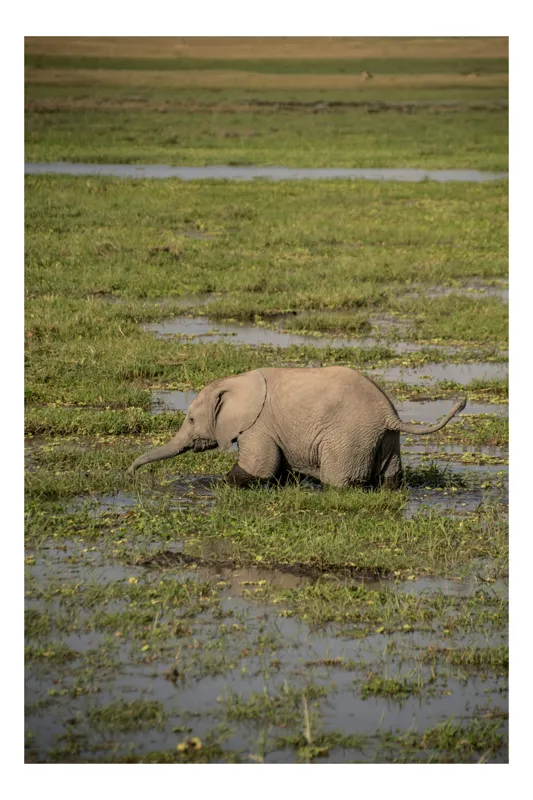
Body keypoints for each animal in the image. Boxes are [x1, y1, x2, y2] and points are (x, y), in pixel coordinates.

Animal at [127, 366, 466, 489]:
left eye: (191, 420)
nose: (130, 473)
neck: (235, 380)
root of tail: (388, 415)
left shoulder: (258, 426)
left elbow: (258, 468)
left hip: (348, 438)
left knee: (338, 481)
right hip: (385, 439)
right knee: (391, 478)